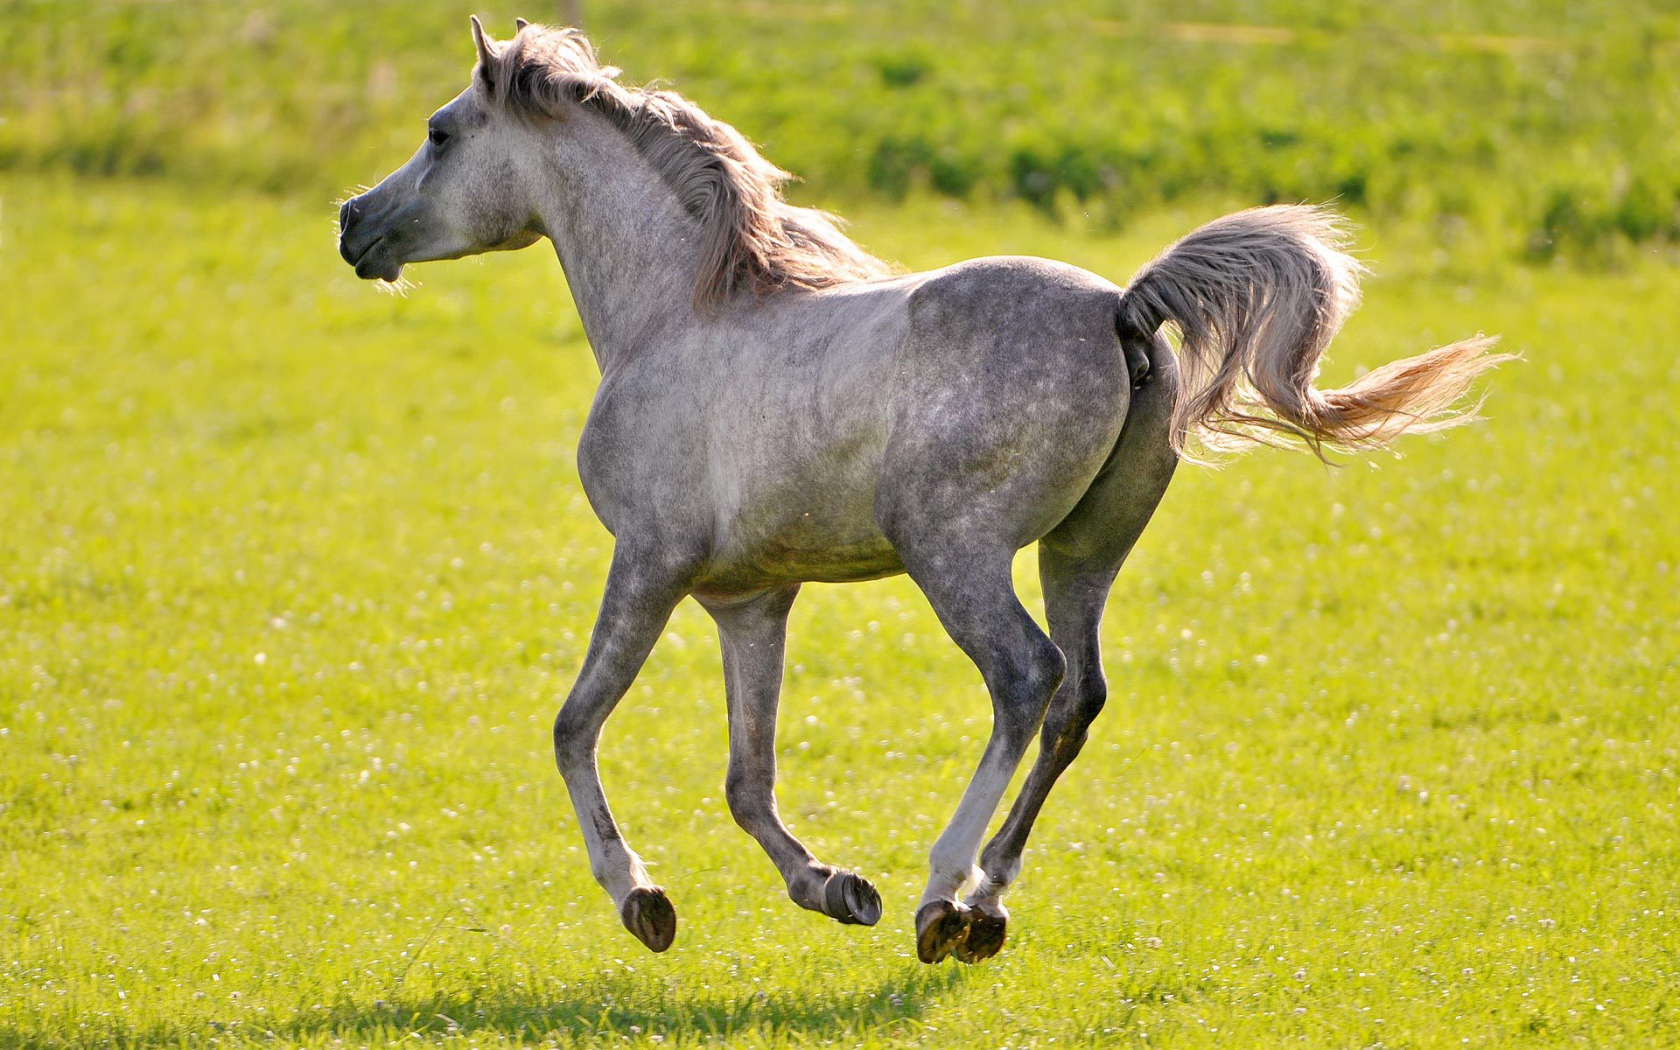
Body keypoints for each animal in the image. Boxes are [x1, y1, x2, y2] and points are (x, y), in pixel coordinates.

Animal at [337, 17, 1507, 964]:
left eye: (440, 133)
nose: (354, 224)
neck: (677, 313)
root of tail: (1123, 311)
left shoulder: (650, 563)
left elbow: (574, 727)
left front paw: (643, 901)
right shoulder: (748, 600)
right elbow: (746, 779)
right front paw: (833, 888)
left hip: (955, 551)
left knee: (1026, 678)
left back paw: (943, 894)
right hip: (1083, 552)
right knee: (1078, 697)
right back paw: (985, 903)